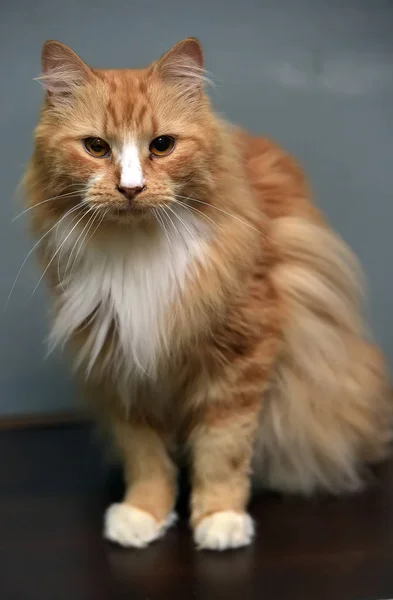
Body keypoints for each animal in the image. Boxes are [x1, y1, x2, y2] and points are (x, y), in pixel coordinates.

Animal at [23, 37, 388, 552]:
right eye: (96, 147)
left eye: (162, 145)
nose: (130, 188)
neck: (138, 254)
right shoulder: (121, 358)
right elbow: (145, 457)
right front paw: (143, 514)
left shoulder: (240, 359)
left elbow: (223, 450)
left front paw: (219, 518)